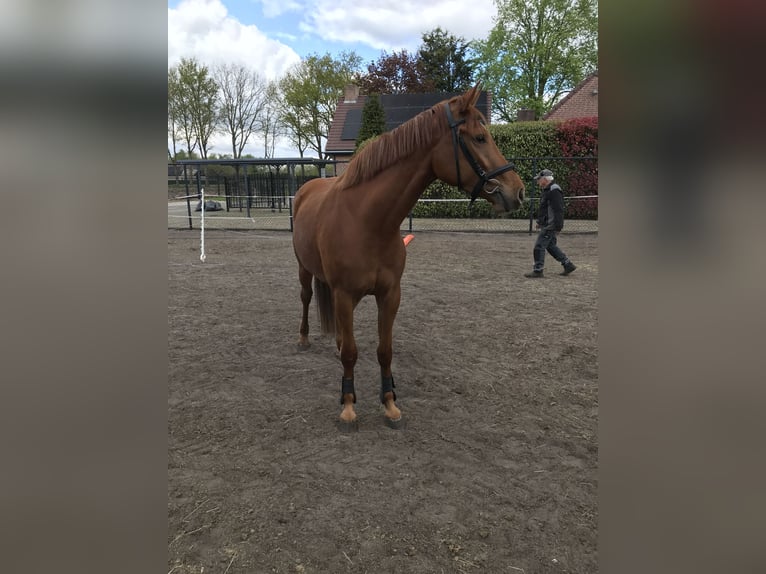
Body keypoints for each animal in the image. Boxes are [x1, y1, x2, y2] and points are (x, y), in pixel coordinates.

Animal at [291, 85, 525, 430]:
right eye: (480, 137)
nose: (517, 192)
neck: (368, 221)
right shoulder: (345, 293)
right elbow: (351, 353)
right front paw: (348, 406)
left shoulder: (390, 295)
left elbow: (384, 350)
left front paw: (390, 403)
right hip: (304, 270)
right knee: (307, 298)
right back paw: (304, 338)